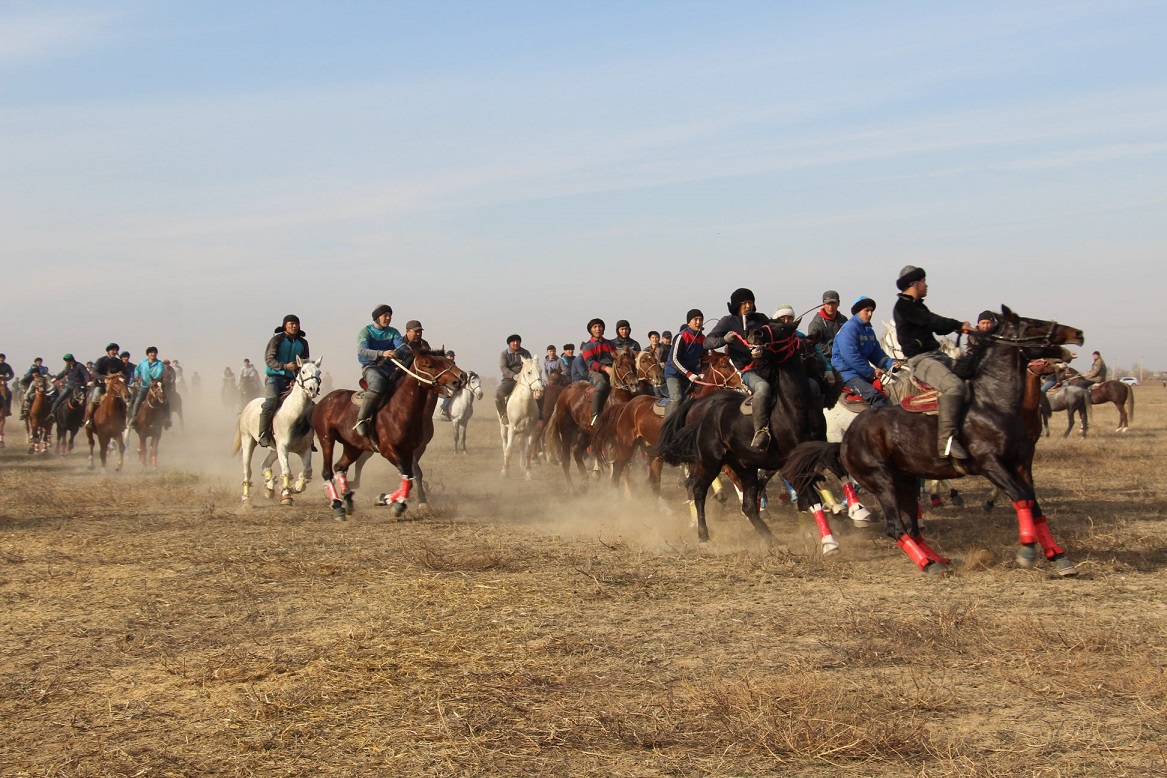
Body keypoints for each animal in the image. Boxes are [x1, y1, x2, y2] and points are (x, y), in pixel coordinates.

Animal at [232, 356, 324, 506]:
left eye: (319, 372)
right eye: (303, 371)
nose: (313, 389)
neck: (294, 414)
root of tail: (248, 406)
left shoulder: (305, 448)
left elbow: (307, 471)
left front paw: (297, 487)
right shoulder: (283, 447)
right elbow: (286, 471)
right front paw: (286, 496)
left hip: (274, 450)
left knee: (265, 465)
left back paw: (269, 487)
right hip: (248, 441)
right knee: (247, 470)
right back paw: (246, 498)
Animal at [310, 349, 464, 520]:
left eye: (447, 362)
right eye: (429, 364)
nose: (457, 381)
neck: (398, 409)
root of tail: (324, 401)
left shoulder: (409, 451)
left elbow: (410, 476)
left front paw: (386, 499)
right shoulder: (388, 450)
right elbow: (408, 474)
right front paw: (396, 504)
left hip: (353, 446)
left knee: (339, 467)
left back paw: (348, 500)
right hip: (327, 439)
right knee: (327, 472)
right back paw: (337, 506)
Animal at [543, 349, 644, 489]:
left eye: (632, 363)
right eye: (619, 366)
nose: (634, 384)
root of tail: (565, 392)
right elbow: (619, 463)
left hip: (587, 433)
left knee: (577, 451)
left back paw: (585, 480)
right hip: (566, 429)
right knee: (565, 458)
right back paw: (571, 487)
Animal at [784, 307, 1082, 576]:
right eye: (1032, 325)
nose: (1076, 336)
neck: (991, 403)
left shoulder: (1019, 463)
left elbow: (1031, 501)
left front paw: (1057, 556)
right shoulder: (990, 463)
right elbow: (1021, 498)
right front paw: (1028, 550)